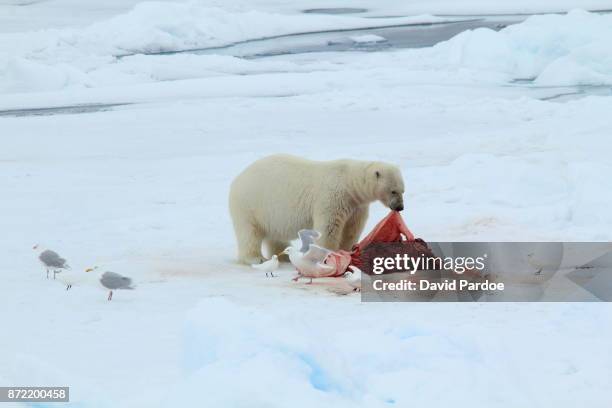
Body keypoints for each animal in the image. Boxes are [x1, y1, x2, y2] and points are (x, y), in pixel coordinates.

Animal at [227, 154, 404, 264]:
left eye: (402, 190)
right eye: (393, 191)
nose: (400, 207)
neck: (350, 183)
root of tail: (237, 179)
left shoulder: (356, 206)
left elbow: (351, 229)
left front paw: (347, 251)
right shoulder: (333, 198)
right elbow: (329, 228)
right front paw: (328, 255)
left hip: (270, 212)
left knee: (275, 234)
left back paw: (285, 255)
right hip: (250, 204)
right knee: (250, 232)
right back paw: (256, 259)